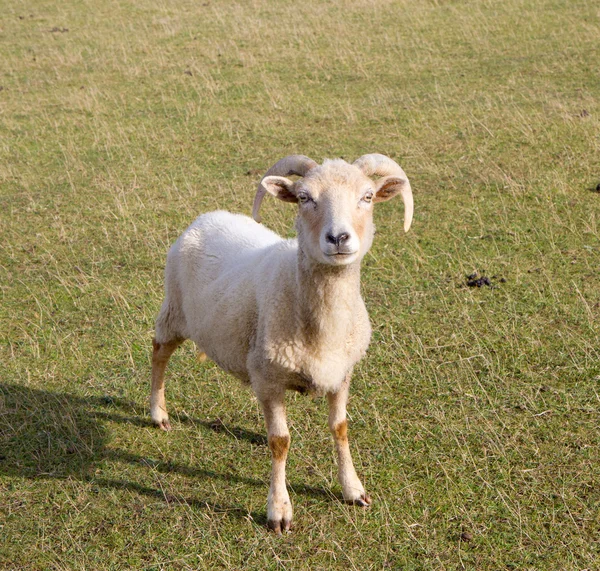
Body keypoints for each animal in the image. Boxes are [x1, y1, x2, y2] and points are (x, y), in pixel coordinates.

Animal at [150, 154, 412, 536]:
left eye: (367, 196)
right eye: (305, 198)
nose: (338, 237)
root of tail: (207, 216)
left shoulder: (342, 374)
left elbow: (340, 428)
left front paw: (353, 489)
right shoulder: (271, 380)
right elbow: (281, 442)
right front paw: (279, 510)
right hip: (175, 312)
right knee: (159, 353)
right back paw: (158, 413)